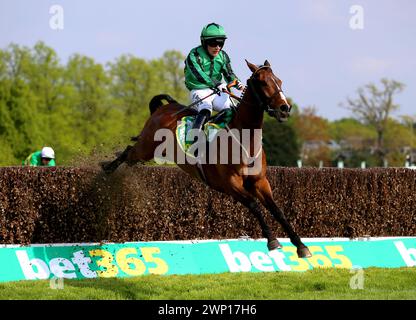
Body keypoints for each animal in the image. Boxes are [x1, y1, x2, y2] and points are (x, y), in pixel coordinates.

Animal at [102, 60, 312, 258]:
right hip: (146, 148)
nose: (284, 108)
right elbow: (254, 205)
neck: (244, 141)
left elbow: (277, 210)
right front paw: (272, 240)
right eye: (262, 82)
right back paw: (105, 170)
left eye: (279, 81)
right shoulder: (231, 184)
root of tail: (165, 108)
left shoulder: (260, 181)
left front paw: (301, 246)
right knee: (128, 151)